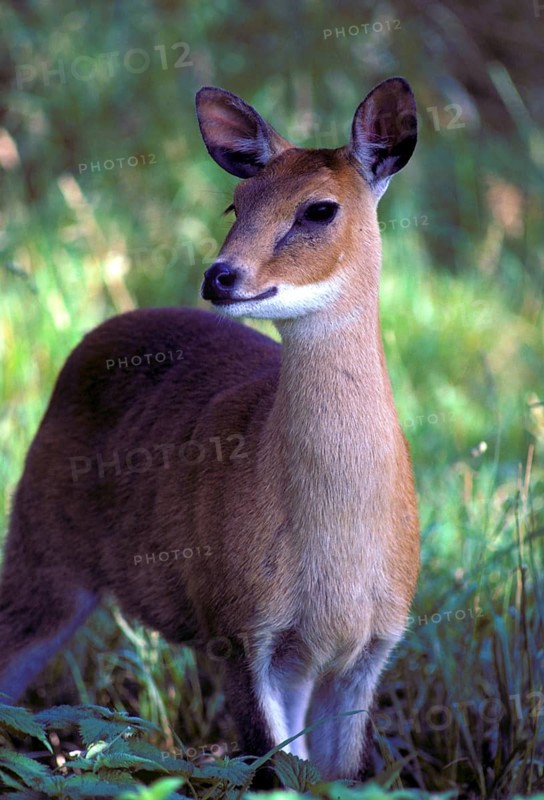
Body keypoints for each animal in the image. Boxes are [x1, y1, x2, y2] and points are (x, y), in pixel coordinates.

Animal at [0, 77, 420, 783]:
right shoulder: (239, 626)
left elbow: (339, 777)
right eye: (235, 202)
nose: (220, 275)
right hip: (40, 544)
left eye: (319, 210)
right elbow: (270, 768)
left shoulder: (373, 645)